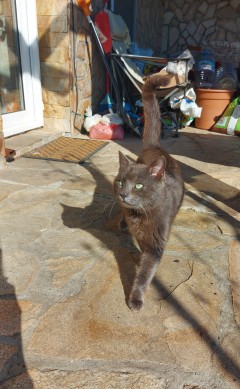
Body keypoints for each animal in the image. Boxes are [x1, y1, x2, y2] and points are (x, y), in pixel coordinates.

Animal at [113, 72, 185, 310]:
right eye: (120, 182)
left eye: (138, 185)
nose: (123, 194)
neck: (141, 216)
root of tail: (155, 148)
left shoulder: (156, 244)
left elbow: (146, 273)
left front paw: (135, 298)